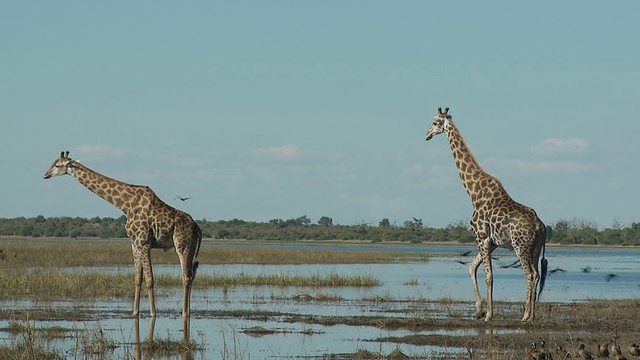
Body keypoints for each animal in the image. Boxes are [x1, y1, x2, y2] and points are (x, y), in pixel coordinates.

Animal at [42, 151, 201, 318]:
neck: (125, 205)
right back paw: (188, 311)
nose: (46, 175)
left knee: (186, 276)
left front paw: (153, 313)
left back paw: (185, 312)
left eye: (57, 165)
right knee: (191, 275)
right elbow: (138, 278)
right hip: (188, 248)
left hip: (182, 246)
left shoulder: (143, 242)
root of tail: (197, 228)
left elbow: (150, 279)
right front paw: (135, 312)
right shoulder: (134, 244)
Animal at [424, 107, 544, 320]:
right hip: (535, 248)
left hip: (520, 246)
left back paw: (524, 316)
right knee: (537, 274)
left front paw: (488, 314)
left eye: (436, 122)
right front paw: (479, 308)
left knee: (529, 274)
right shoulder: (491, 242)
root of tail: (541, 226)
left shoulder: (481, 237)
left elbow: (488, 275)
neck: (473, 192)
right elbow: (472, 267)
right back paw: (532, 316)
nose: (427, 135)